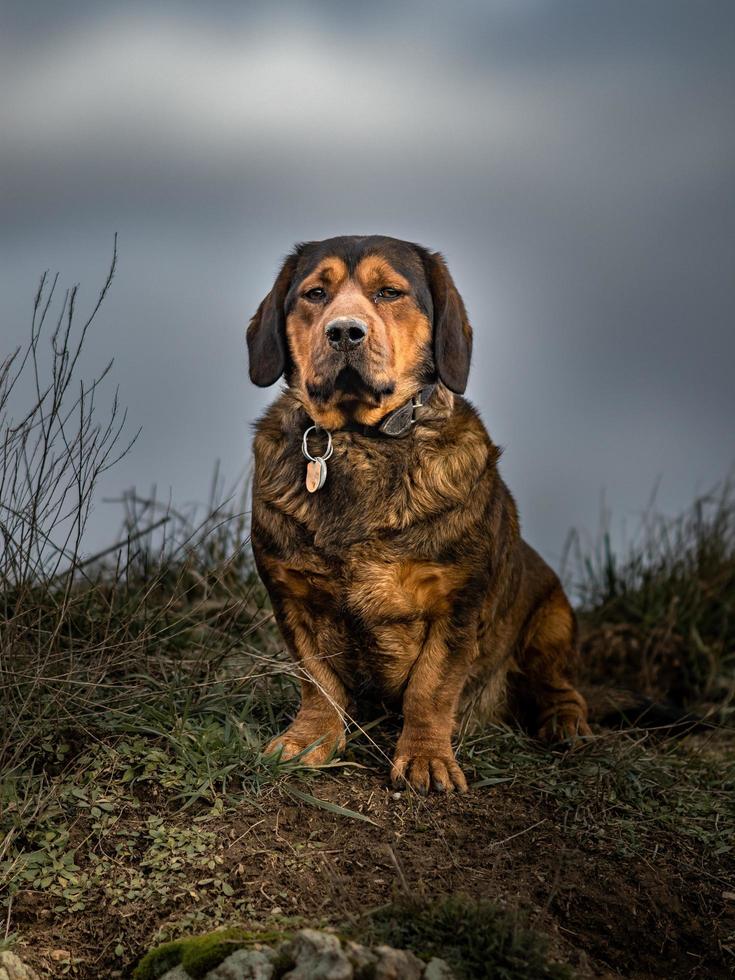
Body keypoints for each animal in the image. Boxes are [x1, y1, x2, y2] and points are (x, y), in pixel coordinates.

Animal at [247, 237, 592, 796]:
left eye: (389, 292)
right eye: (315, 293)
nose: (344, 331)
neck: (359, 440)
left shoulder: (455, 604)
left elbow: (431, 687)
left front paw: (426, 756)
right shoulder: (293, 595)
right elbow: (318, 680)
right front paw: (310, 738)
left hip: (552, 621)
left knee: (559, 685)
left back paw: (564, 721)